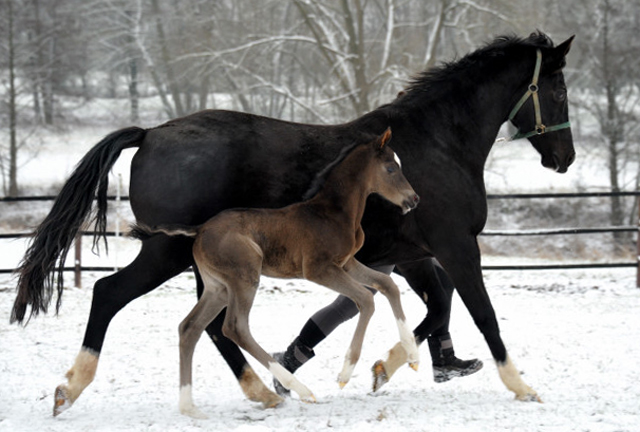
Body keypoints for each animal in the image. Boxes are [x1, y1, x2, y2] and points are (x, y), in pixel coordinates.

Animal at [132, 129, 420, 418]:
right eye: (391, 168)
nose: (414, 199)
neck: (332, 213)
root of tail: (200, 229)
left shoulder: (347, 263)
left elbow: (388, 285)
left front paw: (413, 356)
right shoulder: (319, 269)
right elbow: (365, 299)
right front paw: (345, 373)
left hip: (218, 288)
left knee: (189, 327)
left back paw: (189, 406)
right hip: (245, 278)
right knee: (235, 327)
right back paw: (298, 388)